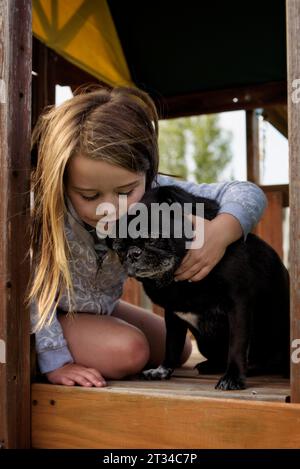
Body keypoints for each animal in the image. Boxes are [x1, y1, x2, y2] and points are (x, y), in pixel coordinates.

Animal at [105, 185, 288, 390]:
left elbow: (237, 345)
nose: (133, 253)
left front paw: (233, 377)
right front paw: (162, 370)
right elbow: (172, 344)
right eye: (119, 248)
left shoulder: (238, 305)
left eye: (152, 238)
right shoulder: (173, 314)